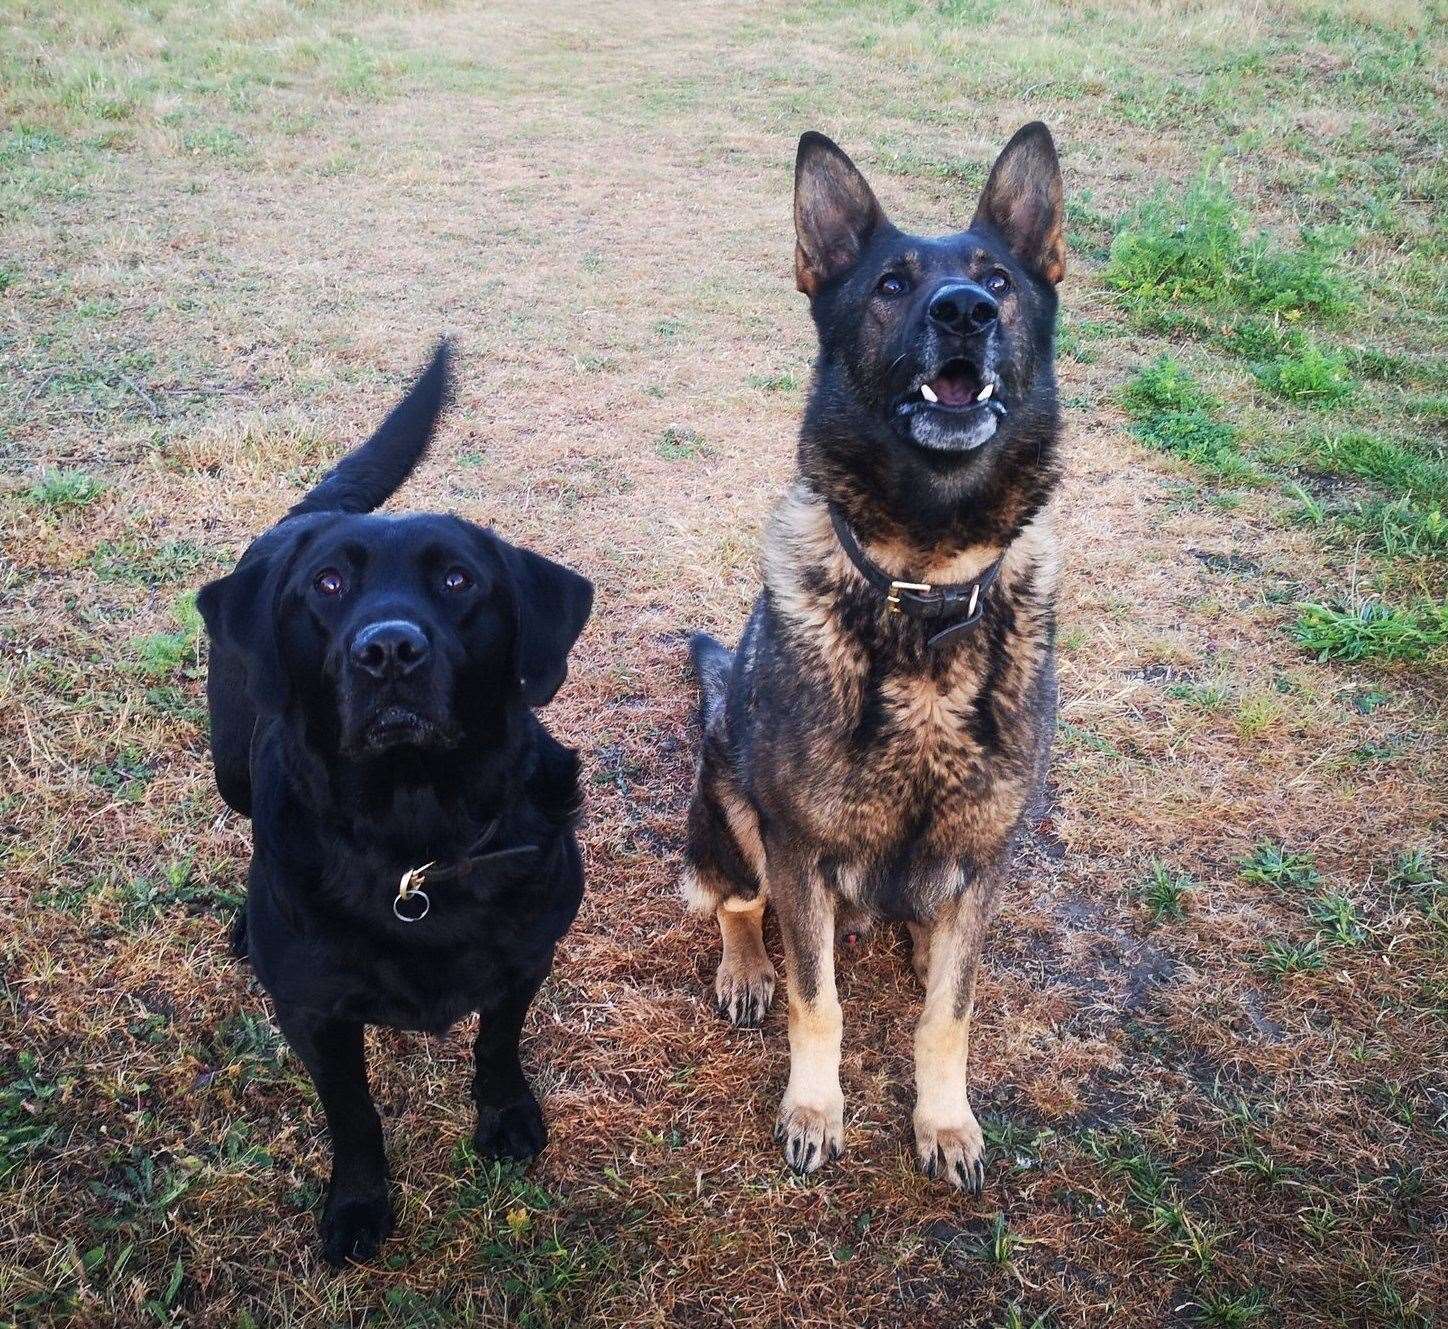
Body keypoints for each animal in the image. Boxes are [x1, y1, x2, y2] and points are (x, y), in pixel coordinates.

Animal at [198, 346, 593, 1268]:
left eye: (457, 578)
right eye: (328, 584)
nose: (388, 650)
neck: (414, 838)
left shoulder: (527, 956)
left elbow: (497, 1040)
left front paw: (506, 1114)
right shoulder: (314, 1015)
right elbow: (353, 1115)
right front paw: (357, 1202)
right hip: (232, 762)